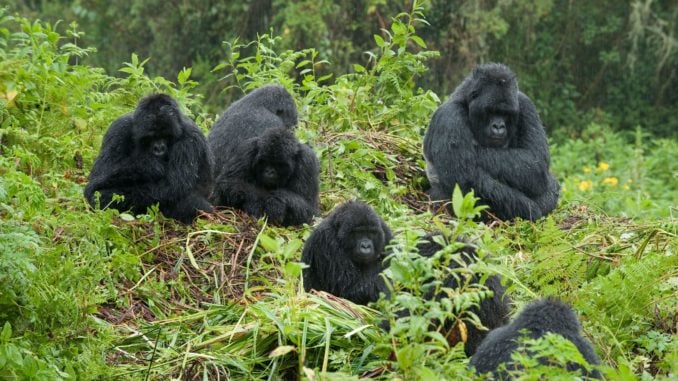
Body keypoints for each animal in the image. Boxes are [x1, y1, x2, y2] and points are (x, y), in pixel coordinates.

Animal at [84, 93, 214, 223]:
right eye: (152, 136)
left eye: (165, 136)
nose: (159, 148)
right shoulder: (119, 127)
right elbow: (101, 170)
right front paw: (150, 165)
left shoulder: (190, 138)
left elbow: (173, 186)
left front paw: (105, 196)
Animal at [424, 62, 564, 220]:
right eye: (491, 111)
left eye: (505, 113)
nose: (498, 126)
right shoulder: (450, 116)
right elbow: (463, 180)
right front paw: (531, 209)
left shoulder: (525, 104)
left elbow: (535, 161)